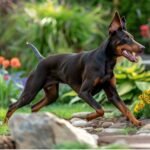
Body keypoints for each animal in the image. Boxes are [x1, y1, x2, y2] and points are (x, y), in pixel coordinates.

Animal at [3, 11, 145, 126]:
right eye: (126, 38)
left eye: (133, 38)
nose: (143, 48)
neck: (106, 61)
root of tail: (42, 59)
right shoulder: (84, 92)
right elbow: (100, 108)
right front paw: (88, 117)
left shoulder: (112, 94)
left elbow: (125, 108)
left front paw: (136, 122)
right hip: (31, 91)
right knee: (12, 106)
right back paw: (5, 124)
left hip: (52, 95)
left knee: (34, 107)